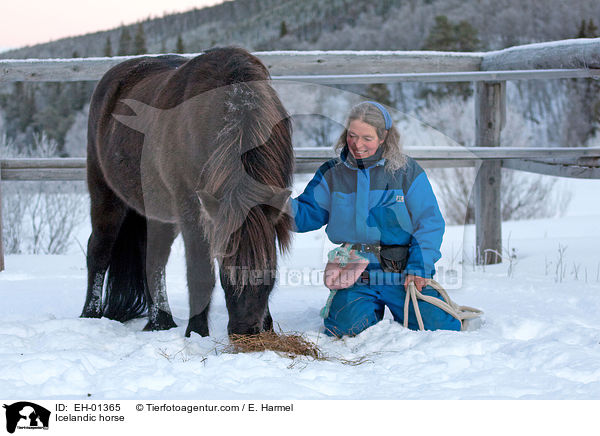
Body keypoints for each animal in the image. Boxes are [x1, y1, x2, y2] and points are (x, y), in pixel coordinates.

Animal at [81, 46, 294, 338]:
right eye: (225, 271)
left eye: (269, 273)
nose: (244, 331)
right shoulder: (192, 209)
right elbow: (200, 272)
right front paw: (197, 331)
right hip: (106, 197)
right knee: (99, 251)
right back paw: (90, 315)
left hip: (156, 211)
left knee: (153, 260)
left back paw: (160, 322)